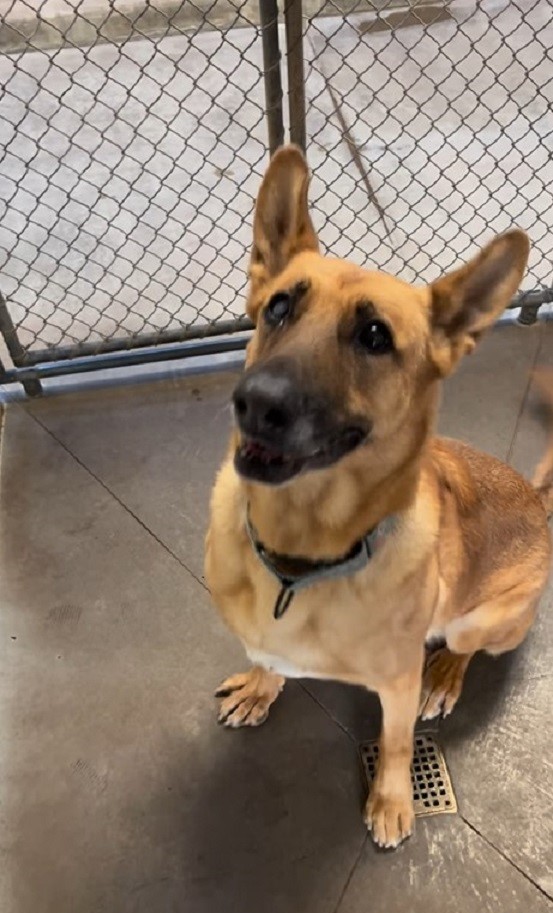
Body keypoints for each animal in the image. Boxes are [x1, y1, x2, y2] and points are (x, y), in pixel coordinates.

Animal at [204, 144, 552, 848]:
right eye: (278, 308)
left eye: (373, 336)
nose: (256, 403)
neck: (300, 562)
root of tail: (538, 498)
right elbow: (271, 661)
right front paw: (262, 686)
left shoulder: (394, 682)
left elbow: (394, 743)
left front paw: (393, 800)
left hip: (484, 621)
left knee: (462, 650)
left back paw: (444, 678)